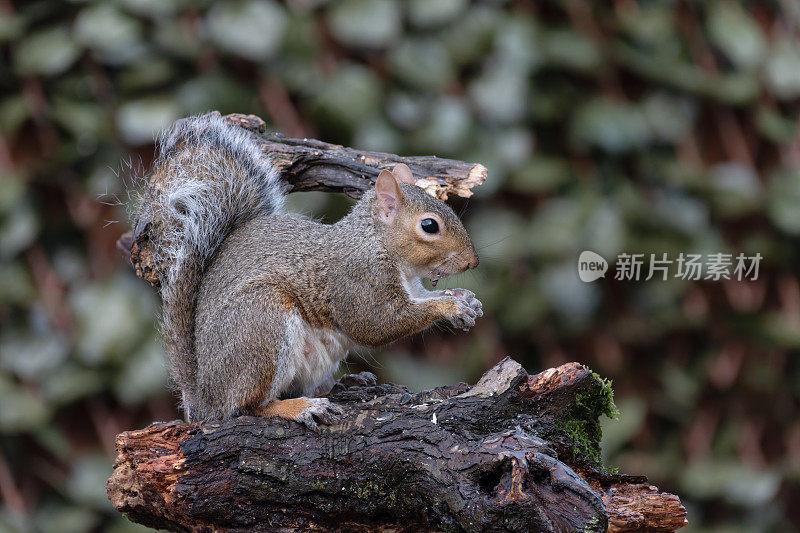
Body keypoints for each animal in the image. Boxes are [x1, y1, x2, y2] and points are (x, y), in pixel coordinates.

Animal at [134, 114, 482, 426]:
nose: (472, 262)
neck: (380, 245)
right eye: (429, 226)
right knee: (247, 406)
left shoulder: (412, 287)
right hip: (261, 323)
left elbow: (423, 298)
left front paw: (465, 299)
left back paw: (347, 383)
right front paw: (450, 306)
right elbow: (378, 323)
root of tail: (205, 396)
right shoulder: (358, 279)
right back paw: (300, 407)